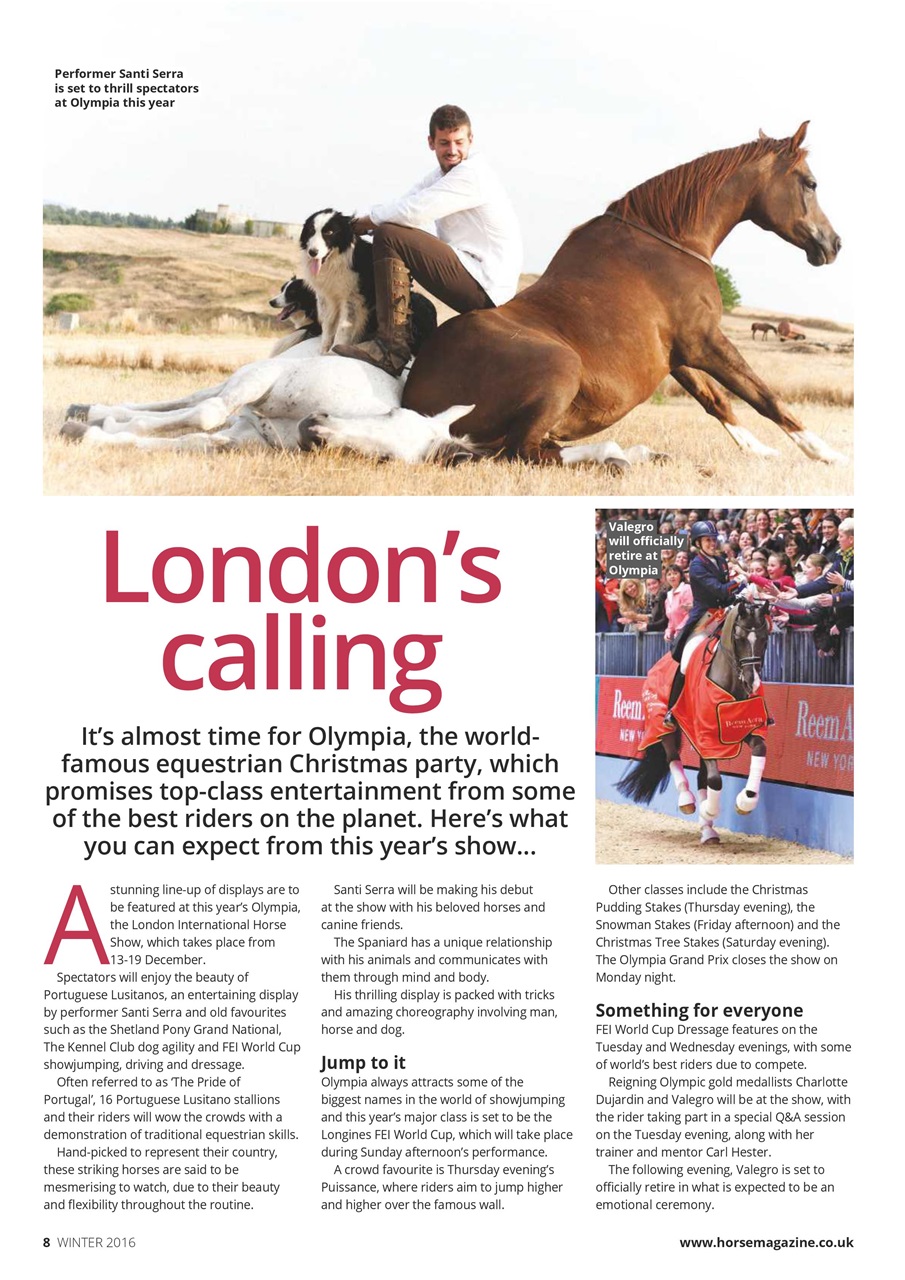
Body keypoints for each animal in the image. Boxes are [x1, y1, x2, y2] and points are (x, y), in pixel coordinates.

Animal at [402, 122, 844, 465]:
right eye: (810, 183)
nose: (834, 244)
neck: (670, 242)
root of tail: (414, 400)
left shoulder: (677, 355)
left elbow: (715, 399)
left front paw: (759, 451)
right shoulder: (704, 342)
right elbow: (762, 395)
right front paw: (826, 454)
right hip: (561, 369)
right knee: (524, 450)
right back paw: (618, 455)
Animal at [616, 600, 772, 845]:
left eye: (765, 638)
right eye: (738, 638)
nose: (751, 683)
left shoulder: (747, 728)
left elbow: (759, 750)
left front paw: (745, 801)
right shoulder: (706, 737)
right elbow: (715, 780)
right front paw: (708, 809)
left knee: (701, 777)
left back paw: (708, 831)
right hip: (663, 728)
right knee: (673, 758)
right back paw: (688, 802)